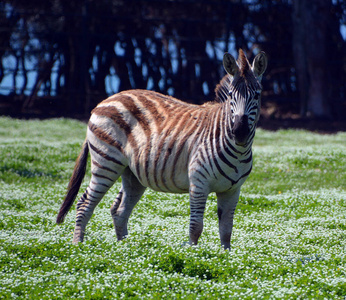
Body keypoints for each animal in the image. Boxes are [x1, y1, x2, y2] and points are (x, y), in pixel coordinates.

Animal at [56, 49, 268, 250]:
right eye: (231, 95)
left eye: (257, 95)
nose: (239, 132)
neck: (237, 151)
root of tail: (107, 99)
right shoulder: (198, 183)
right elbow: (196, 227)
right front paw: (194, 257)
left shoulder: (232, 190)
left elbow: (226, 230)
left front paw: (226, 258)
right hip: (106, 162)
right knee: (85, 203)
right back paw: (78, 247)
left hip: (132, 174)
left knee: (119, 210)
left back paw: (124, 250)